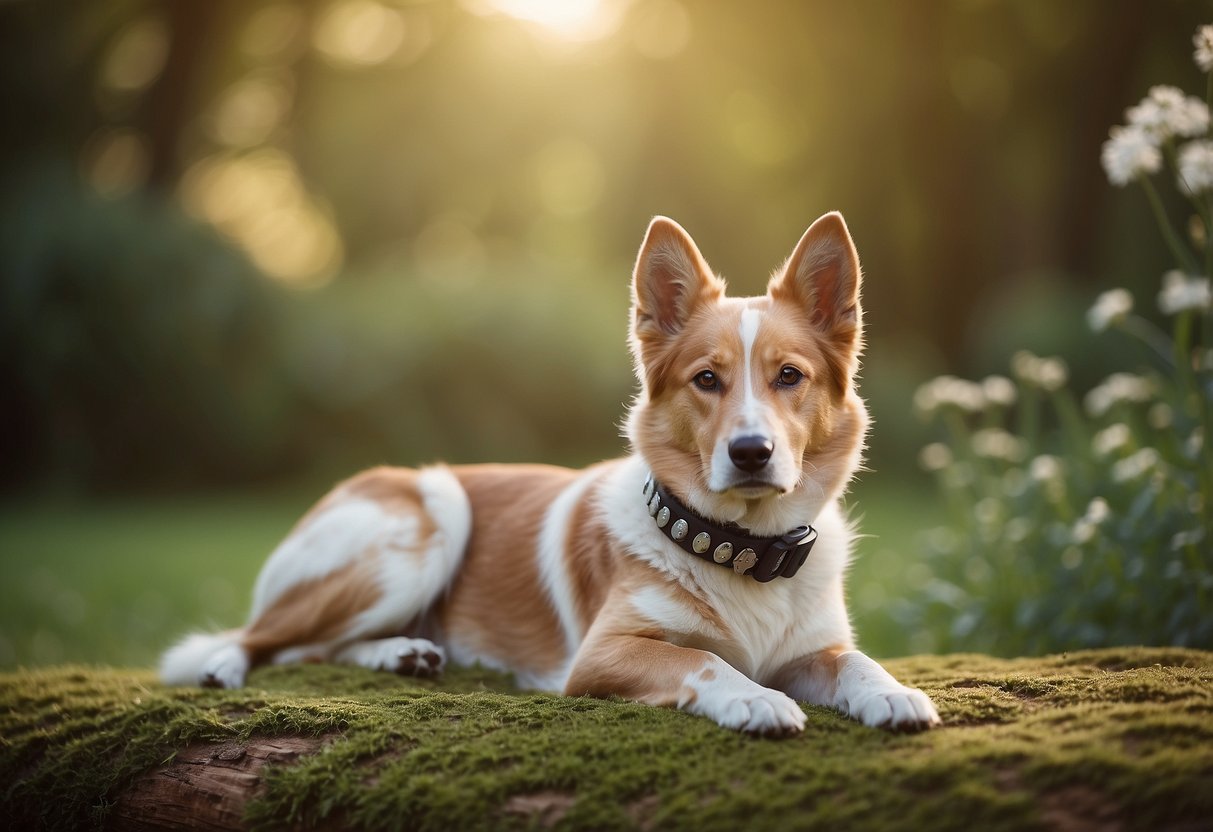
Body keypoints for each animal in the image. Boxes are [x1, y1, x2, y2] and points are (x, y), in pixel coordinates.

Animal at [158, 213, 936, 737]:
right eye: (707, 379)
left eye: (789, 377)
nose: (750, 452)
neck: (741, 548)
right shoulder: (600, 656)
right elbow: (705, 663)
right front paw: (755, 697)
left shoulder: (811, 649)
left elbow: (853, 661)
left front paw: (890, 692)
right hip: (428, 523)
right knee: (267, 639)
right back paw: (227, 665)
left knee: (318, 647)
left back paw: (403, 653)